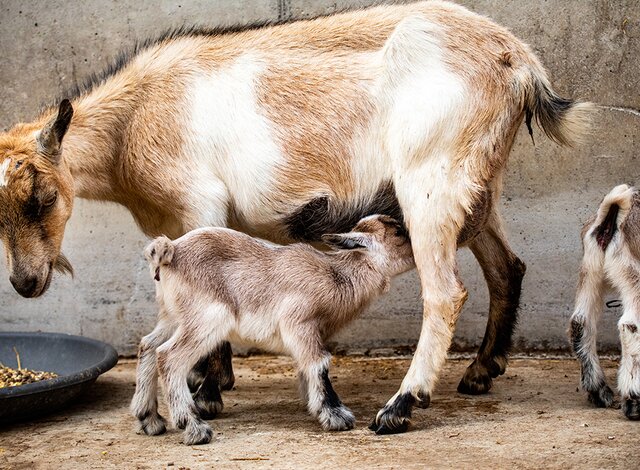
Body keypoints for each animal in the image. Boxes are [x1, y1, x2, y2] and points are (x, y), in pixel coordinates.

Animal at [130, 216, 416, 444]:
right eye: (397, 232)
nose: (417, 250)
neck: (336, 274)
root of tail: (171, 250)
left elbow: (307, 367)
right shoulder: (300, 324)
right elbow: (319, 363)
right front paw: (336, 416)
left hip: (172, 317)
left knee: (149, 345)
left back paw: (150, 419)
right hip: (208, 318)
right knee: (168, 357)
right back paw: (194, 428)